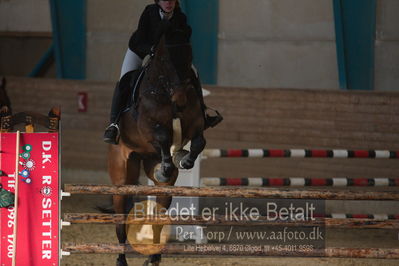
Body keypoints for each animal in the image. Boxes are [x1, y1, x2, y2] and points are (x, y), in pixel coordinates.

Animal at [108, 29, 206, 266]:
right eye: (165, 61)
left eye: (189, 59)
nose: (180, 100)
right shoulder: (146, 126)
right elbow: (161, 135)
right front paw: (171, 162)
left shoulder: (195, 122)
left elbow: (199, 141)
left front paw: (183, 159)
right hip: (121, 179)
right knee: (120, 222)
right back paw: (121, 259)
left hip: (161, 186)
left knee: (158, 217)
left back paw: (153, 256)